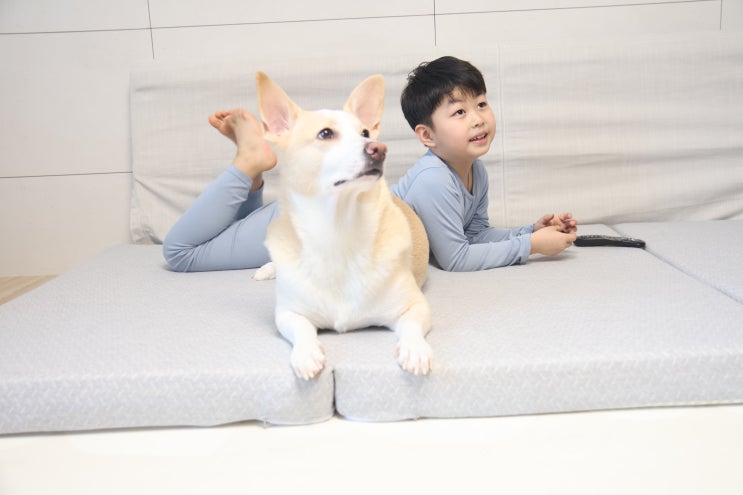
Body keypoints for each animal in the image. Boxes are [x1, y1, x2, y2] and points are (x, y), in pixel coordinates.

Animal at [252, 72, 432, 380]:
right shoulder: (287, 314)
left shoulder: (415, 306)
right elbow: (301, 328)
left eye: (366, 134)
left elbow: (411, 327)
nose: (379, 149)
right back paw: (266, 269)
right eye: (326, 134)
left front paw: (415, 350)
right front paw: (306, 353)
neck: (339, 232)